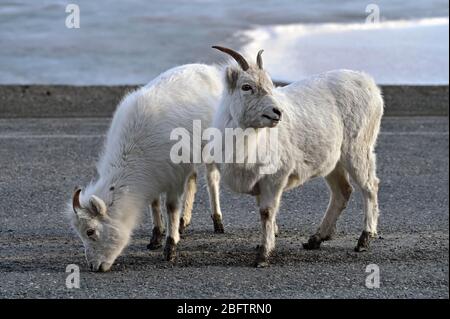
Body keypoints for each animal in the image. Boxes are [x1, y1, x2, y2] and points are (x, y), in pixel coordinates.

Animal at [67, 64, 225, 272]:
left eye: (90, 231)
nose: (95, 266)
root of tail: (210, 69)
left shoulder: (173, 177)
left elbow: (171, 207)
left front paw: (170, 248)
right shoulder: (155, 176)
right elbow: (154, 203)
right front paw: (156, 238)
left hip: (211, 146)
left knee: (212, 179)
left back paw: (218, 222)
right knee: (193, 179)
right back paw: (184, 222)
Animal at [212, 47, 384, 268]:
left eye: (270, 85)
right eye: (246, 86)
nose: (277, 112)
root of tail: (369, 84)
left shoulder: (275, 178)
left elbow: (267, 212)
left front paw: (263, 256)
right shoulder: (259, 181)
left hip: (357, 151)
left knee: (370, 187)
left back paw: (364, 240)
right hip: (333, 163)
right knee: (342, 192)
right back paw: (315, 240)